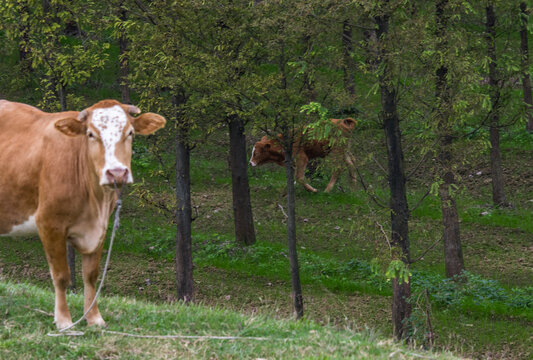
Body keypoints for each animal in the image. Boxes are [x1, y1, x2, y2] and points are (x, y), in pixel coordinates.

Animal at [0, 99, 164, 330]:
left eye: (130, 132)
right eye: (91, 134)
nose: (116, 172)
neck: (95, 202)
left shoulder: (100, 227)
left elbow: (91, 275)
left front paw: (94, 317)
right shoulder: (49, 223)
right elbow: (61, 276)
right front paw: (64, 320)